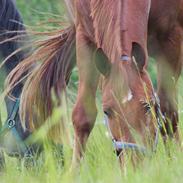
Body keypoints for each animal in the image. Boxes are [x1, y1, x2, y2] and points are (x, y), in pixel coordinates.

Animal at [6, 0, 183, 167]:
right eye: (107, 111)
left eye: (147, 106)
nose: (134, 161)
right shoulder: (85, 40)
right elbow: (83, 115)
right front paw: (74, 171)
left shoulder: (172, 40)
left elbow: (167, 111)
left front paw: (174, 159)